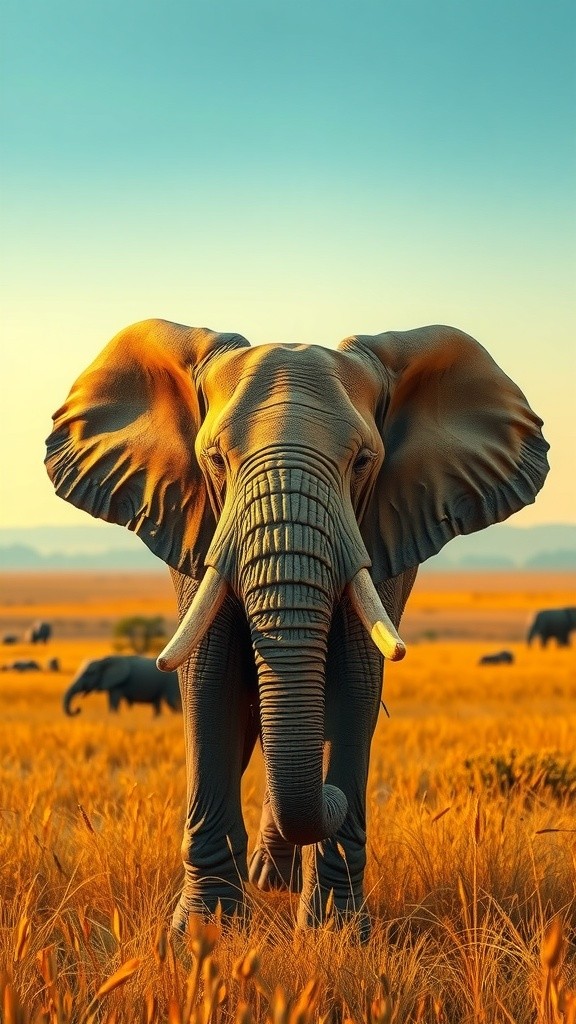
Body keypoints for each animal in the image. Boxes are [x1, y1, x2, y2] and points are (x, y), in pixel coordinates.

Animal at [45, 318, 549, 936]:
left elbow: (354, 687)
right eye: (216, 460)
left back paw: (278, 881)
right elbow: (210, 684)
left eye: (362, 461)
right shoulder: (194, 525)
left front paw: (338, 932)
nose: (332, 796)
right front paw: (205, 932)